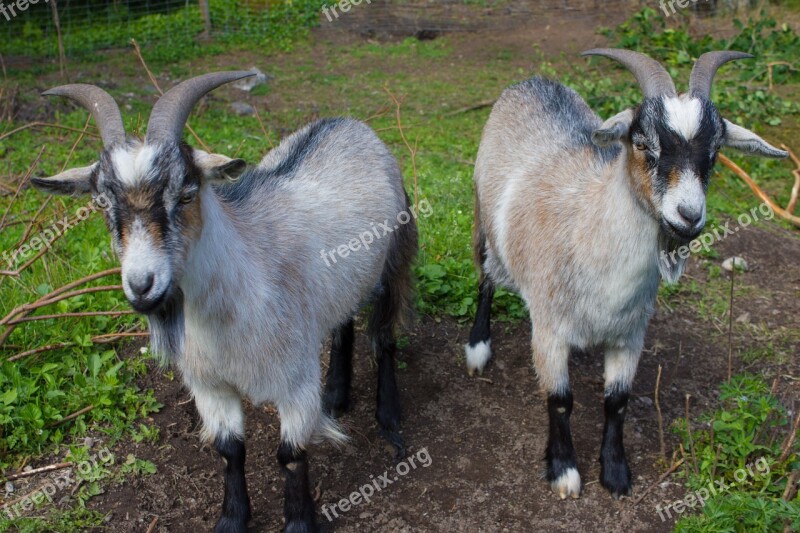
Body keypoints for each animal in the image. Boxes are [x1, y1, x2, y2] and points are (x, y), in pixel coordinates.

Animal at [466, 50, 784, 498]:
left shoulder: (630, 335)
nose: (689, 216)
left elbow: (617, 402)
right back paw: (477, 347)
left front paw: (616, 473)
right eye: (642, 143)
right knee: (486, 278)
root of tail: (534, 81)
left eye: (715, 152)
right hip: (482, 216)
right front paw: (564, 471)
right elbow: (560, 399)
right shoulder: (548, 330)